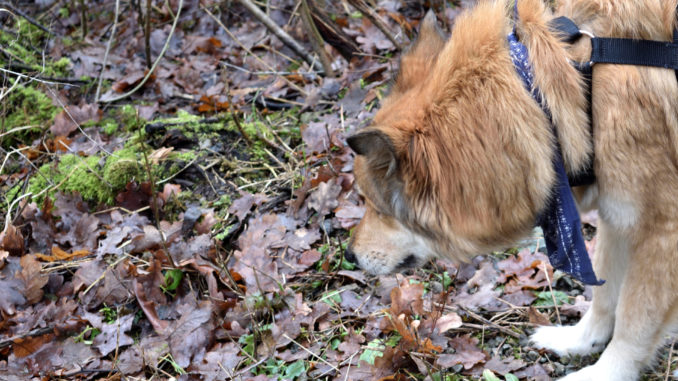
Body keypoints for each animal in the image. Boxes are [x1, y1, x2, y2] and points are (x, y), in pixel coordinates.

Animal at [348, 1, 678, 378]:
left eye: (377, 208)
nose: (349, 255)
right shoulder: (620, 218)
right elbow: (605, 296)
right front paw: (581, 341)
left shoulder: (662, 235)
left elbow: (634, 321)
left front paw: (605, 373)